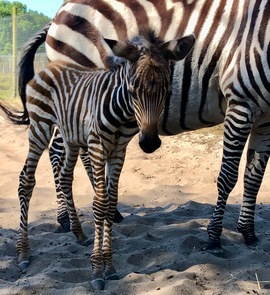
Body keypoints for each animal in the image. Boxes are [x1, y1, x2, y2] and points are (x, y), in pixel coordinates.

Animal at [19, 0, 270, 254]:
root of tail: (61, 10)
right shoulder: (241, 103)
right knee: (58, 153)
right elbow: (228, 176)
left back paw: (105, 213)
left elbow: (254, 177)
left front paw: (248, 232)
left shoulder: (266, 117)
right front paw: (215, 237)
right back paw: (66, 220)